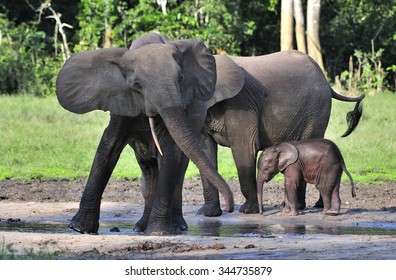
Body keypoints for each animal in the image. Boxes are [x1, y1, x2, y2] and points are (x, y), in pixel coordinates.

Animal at [56, 32, 241, 234]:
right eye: (137, 85)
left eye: (181, 78)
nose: (230, 208)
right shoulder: (122, 103)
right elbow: (108, 147)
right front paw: (79, 228)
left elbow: (169, 153)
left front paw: (159, 232)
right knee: (149, 171)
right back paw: (140, 227)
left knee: (177, 172)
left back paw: (176, 227)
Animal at [198, 50, 366, 217]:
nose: (229, 209)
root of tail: (327, 83)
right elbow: (206, 149)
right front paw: (208, 214)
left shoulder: (240, 103)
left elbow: (245, 148)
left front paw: (247, 211)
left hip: (316, 110)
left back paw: (309, 206)